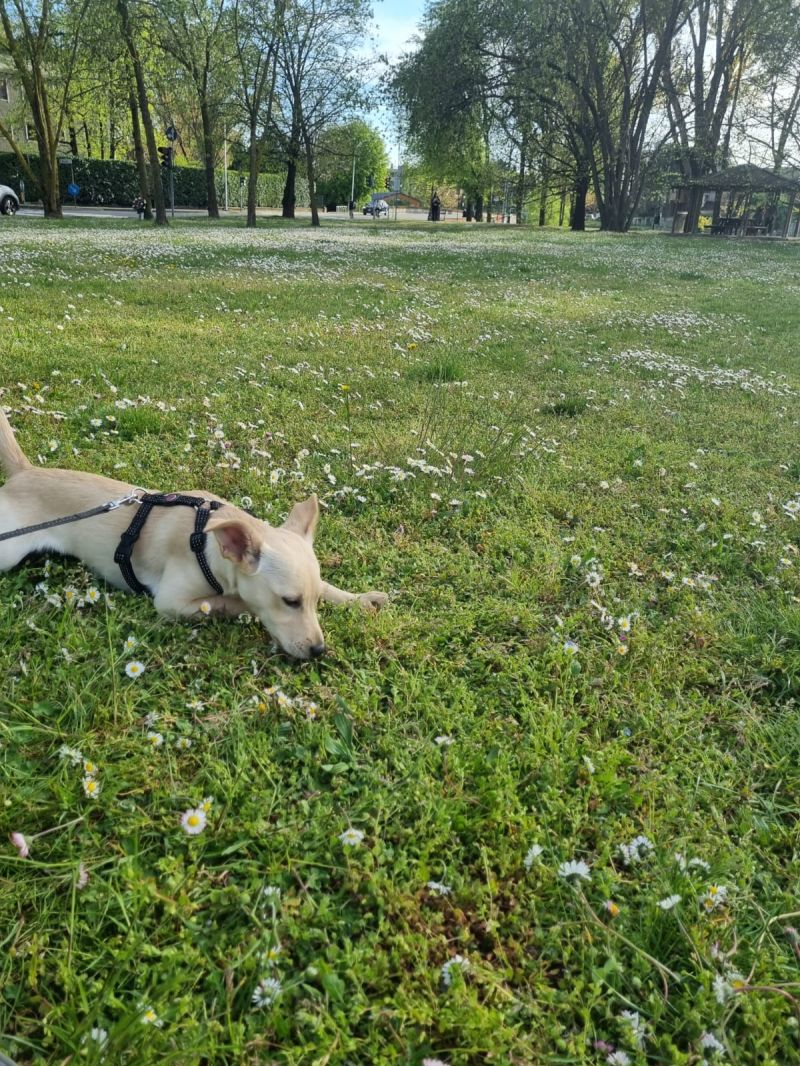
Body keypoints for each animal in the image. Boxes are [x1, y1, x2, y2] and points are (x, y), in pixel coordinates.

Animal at [0, 407, 388, 656]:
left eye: (313, 601)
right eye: (289, 602)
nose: (319, 650)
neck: (206, 541)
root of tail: (25, 472)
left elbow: (331, 587)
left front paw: (360, 598)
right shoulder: (171, 601)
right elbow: (228, 603)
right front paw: (243, 606)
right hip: (9, 551)